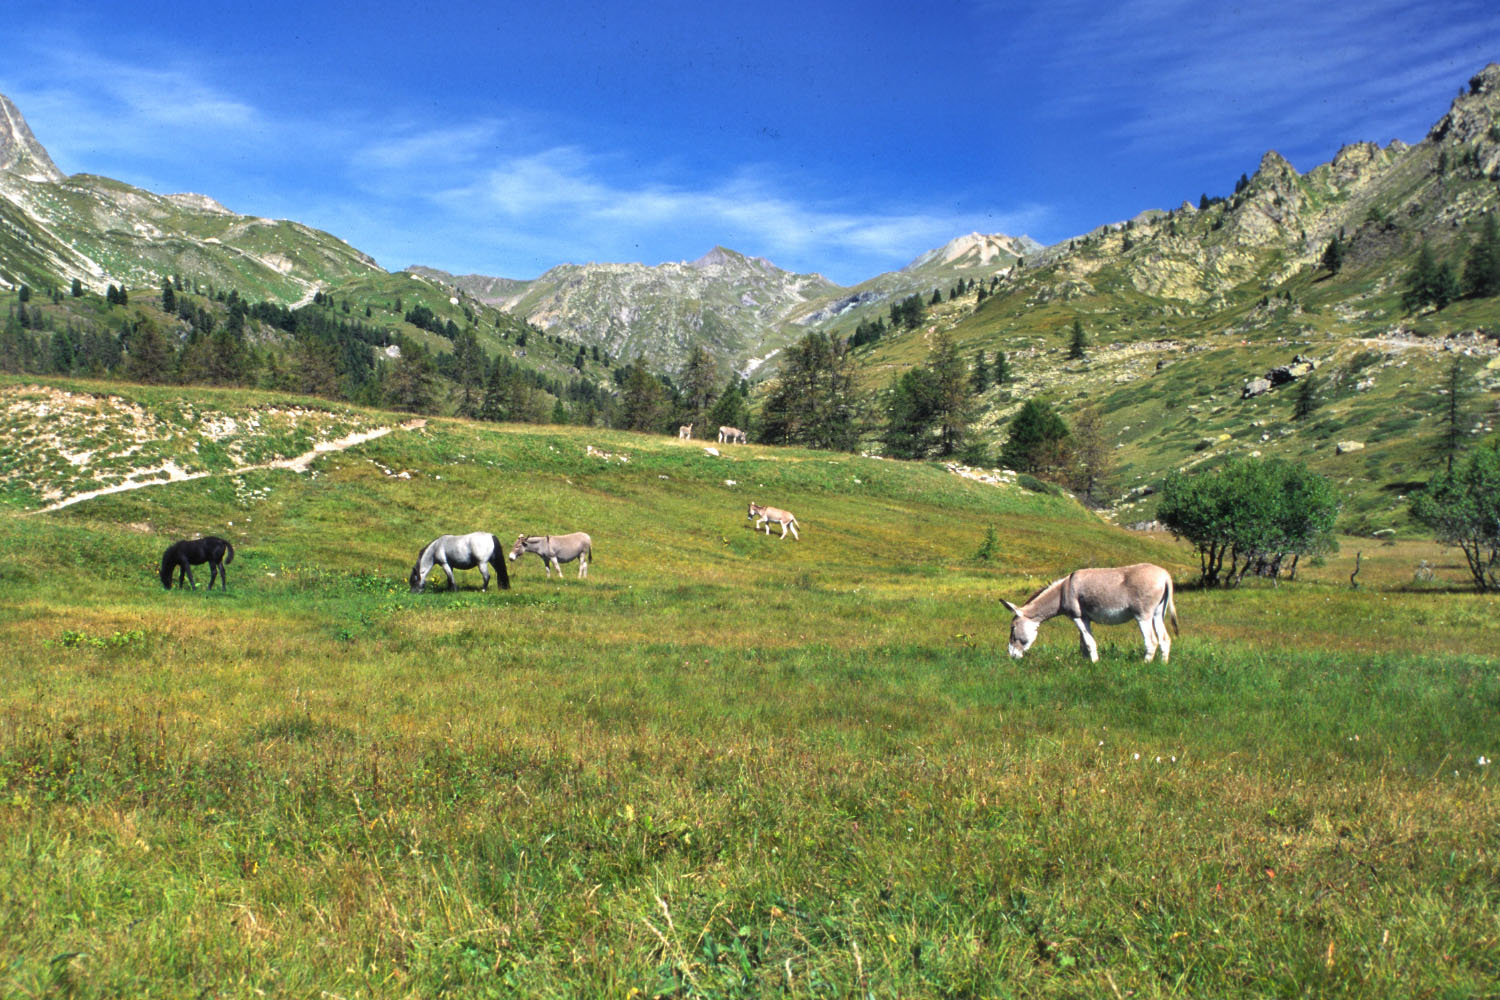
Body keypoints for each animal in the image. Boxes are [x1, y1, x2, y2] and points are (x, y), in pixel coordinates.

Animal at [1002, 563, 1176, 665]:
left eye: (1012, 627)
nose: (1012, 656)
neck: (1062, 592)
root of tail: (1165, 575)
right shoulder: (1085, 618)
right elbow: (1083, 643)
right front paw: (1086, 662)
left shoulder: (1077, 616)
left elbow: (1089, 641)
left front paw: (1094, 663)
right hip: (1157, 614)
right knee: (1165, 639)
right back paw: (1163, 664)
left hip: (1143, 615)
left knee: (1151, 641)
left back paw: (1145, 665)